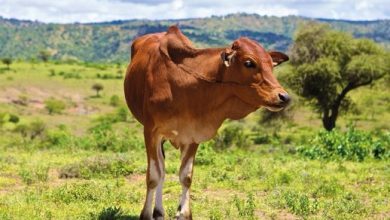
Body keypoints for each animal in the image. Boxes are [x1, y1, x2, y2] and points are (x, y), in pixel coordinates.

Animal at [124, 24, 290, 219]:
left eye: (271, 65)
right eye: (249, 63)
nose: (284, 97)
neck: (184, 85)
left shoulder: (192, 135)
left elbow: (186, 176)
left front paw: (183, 213)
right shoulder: (151, 132)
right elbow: (153, 177)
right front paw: (146, 214)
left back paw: (159, 212)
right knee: (160, 170)